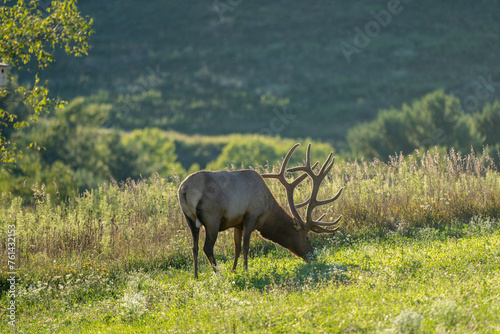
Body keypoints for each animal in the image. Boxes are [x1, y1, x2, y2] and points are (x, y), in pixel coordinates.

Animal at [177, 142, 344, 278]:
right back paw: (219, 275)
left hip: (189, 218)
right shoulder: (251, 214)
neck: (267, 210)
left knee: (194, 247)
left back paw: (196, 276)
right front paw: (245, 271)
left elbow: (237, 247)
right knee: (207, 247)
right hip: (212, 217)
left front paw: (234, 271)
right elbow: (246, 246)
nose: (313, 257)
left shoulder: (237, 222)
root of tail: (184, 189)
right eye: (307, 237)